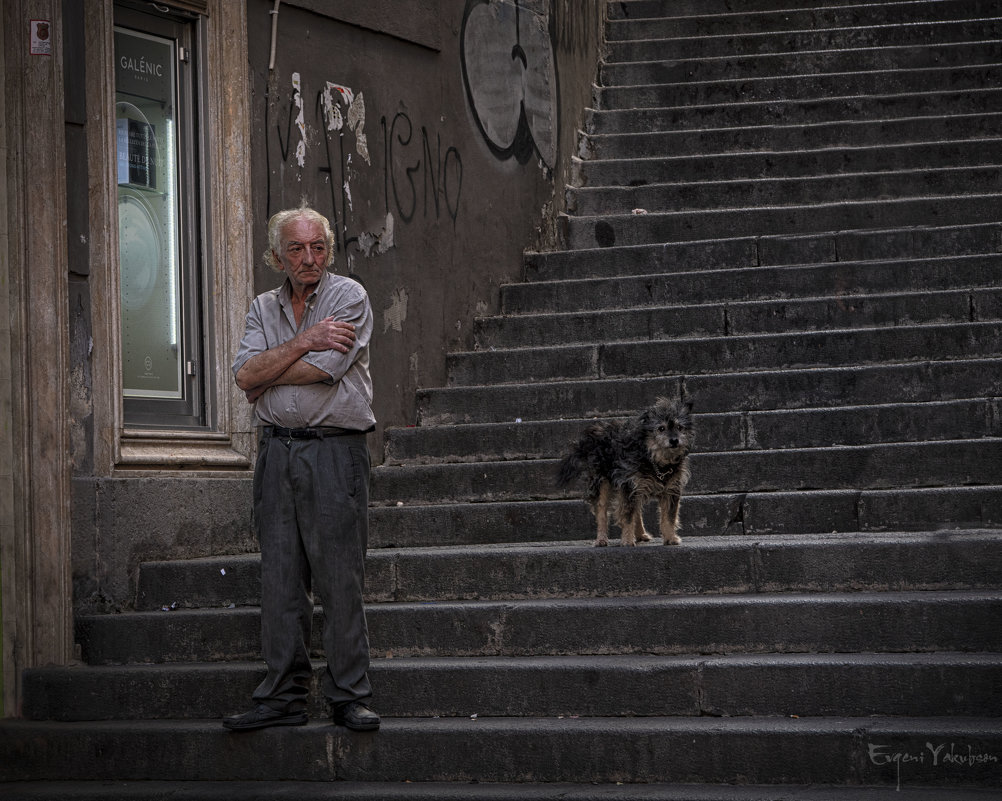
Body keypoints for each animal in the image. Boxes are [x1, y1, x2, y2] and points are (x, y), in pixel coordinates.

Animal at [557, 398, 697, 549]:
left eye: (680, 427)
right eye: (661, 428)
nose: (674, 440)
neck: (654, 460)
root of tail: (597, 431)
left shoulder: (671, 490)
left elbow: (669, 517)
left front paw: (670, 538)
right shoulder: (629, 486)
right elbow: (627, 516)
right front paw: (628, 540)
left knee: (637, 511)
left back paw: (641, 534)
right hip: (602, 483)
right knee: (602, 512)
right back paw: (601, 539)